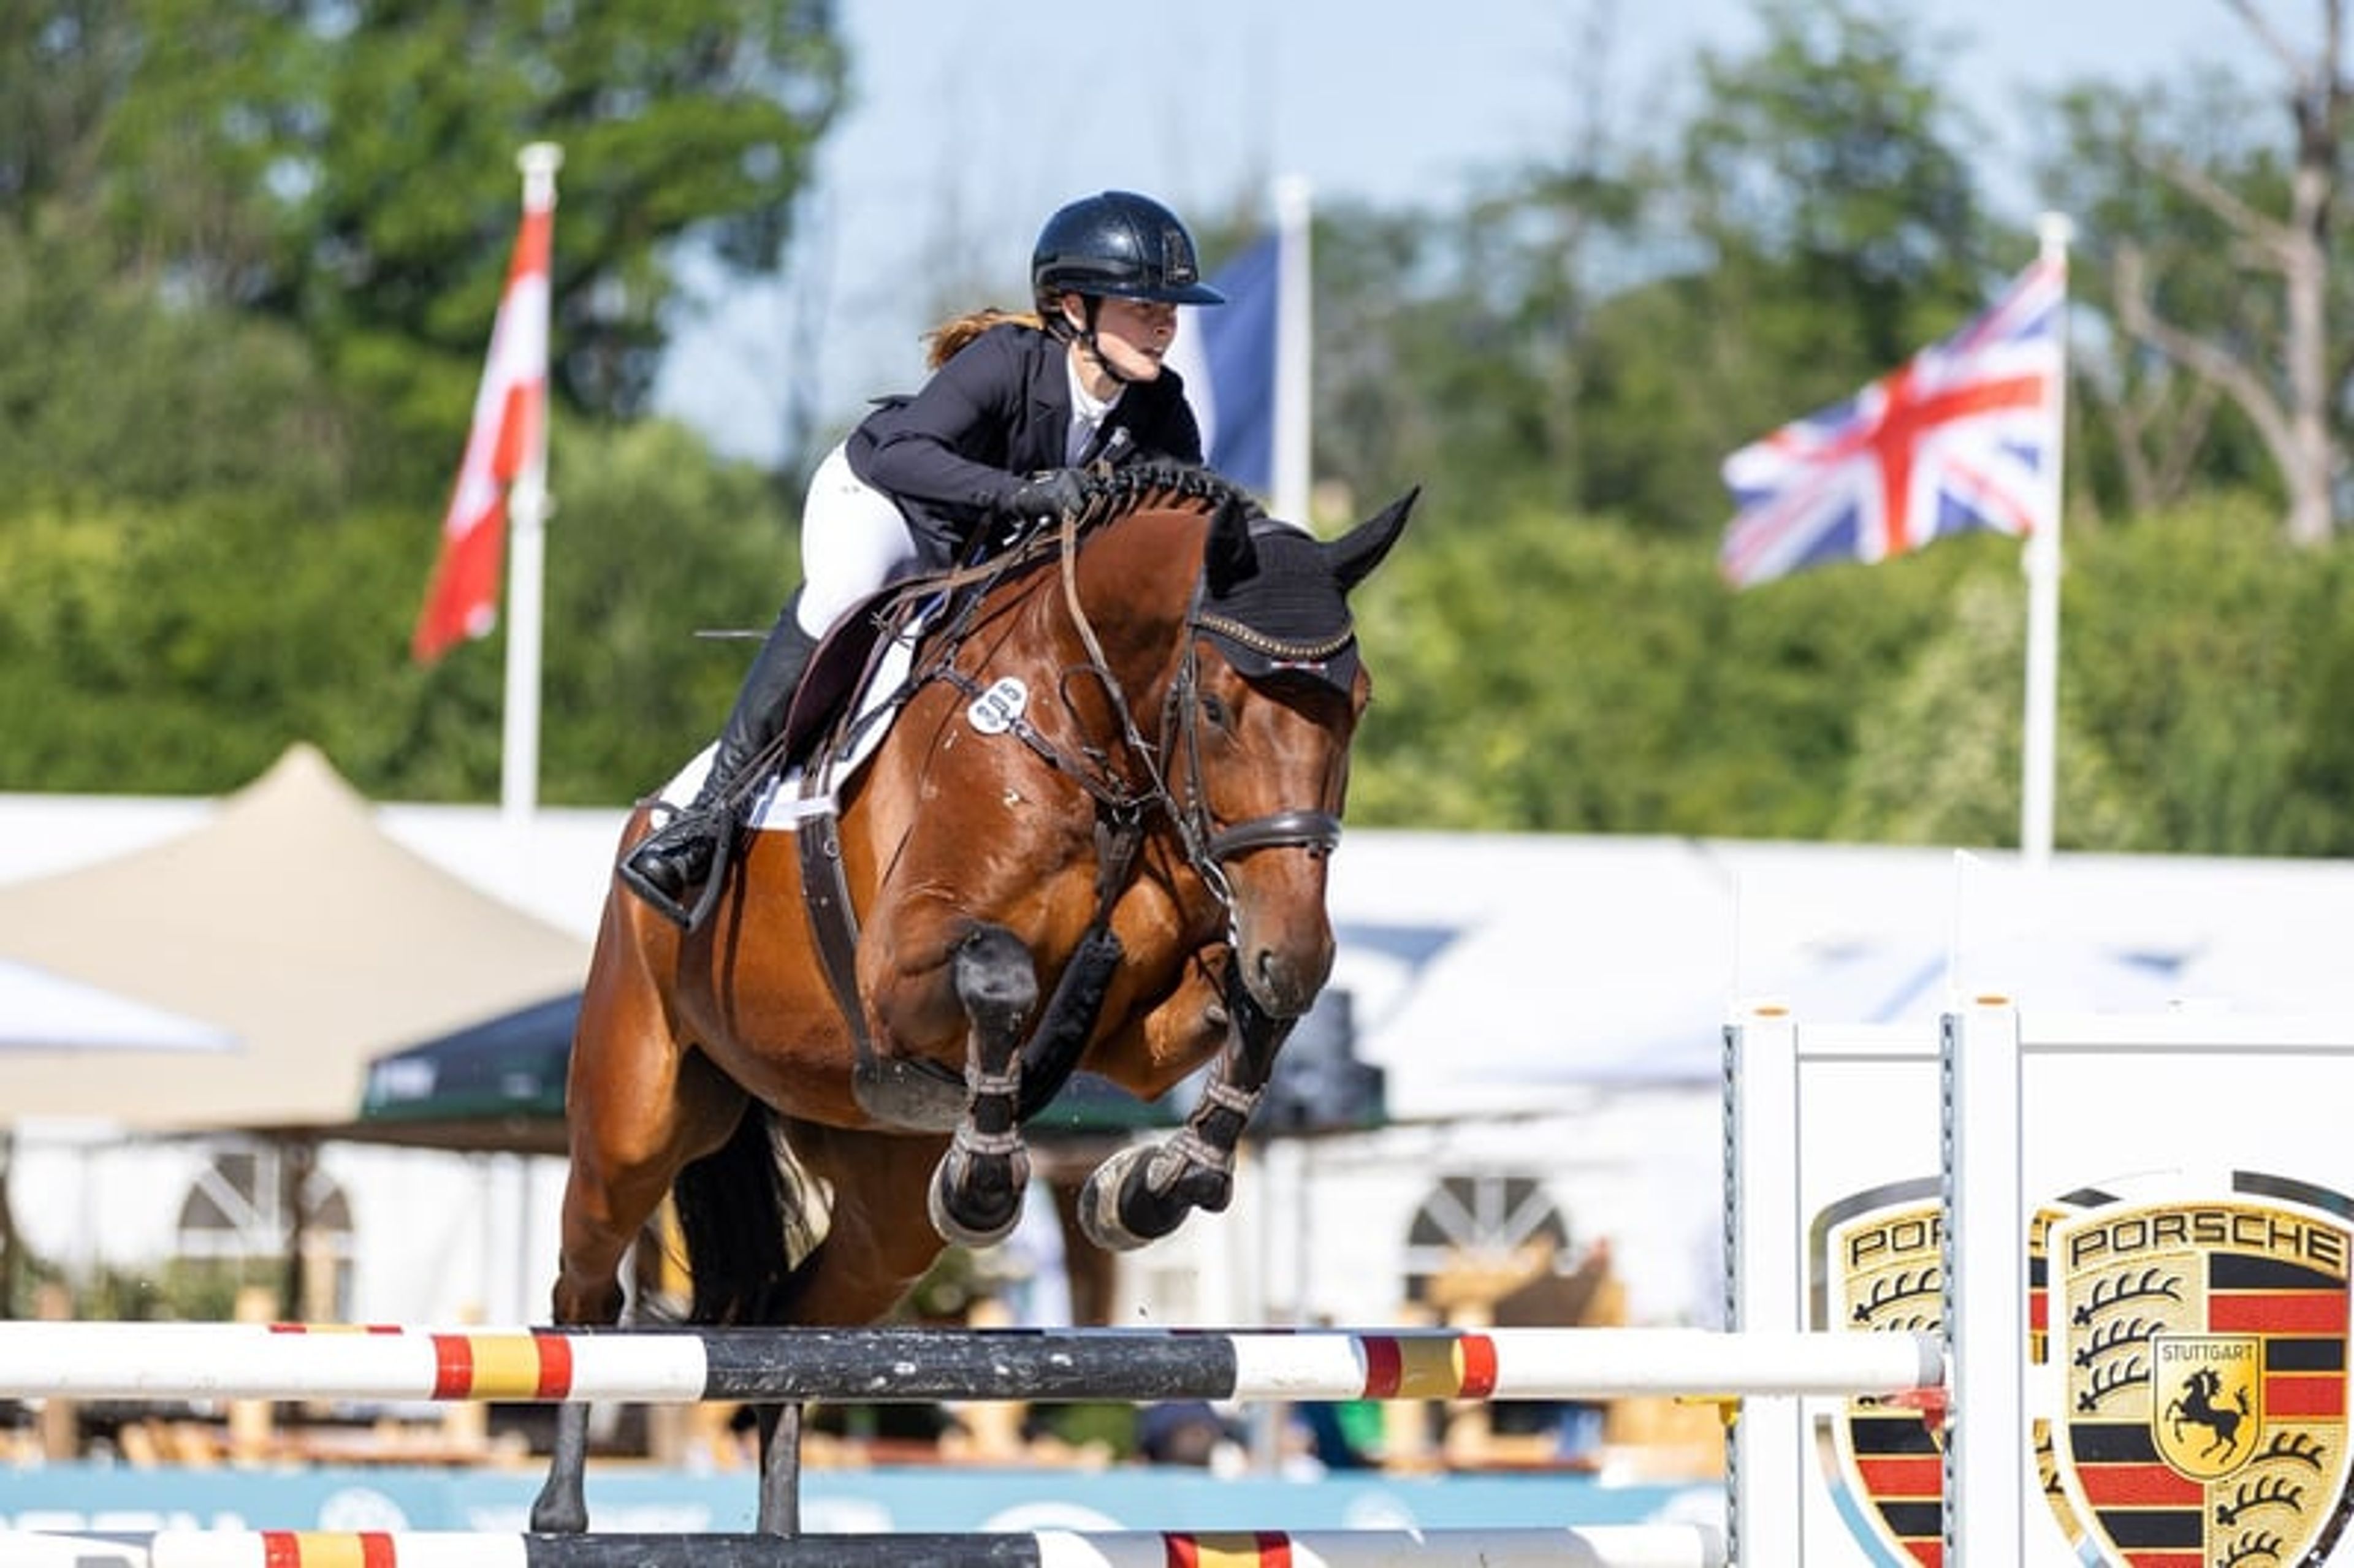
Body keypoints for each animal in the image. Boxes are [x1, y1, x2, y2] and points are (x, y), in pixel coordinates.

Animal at [531, 465, 1416, 1530]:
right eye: (1216, 707)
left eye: (1358, 705)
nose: (1302, 950)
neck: (1086, 730)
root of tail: (642, 817)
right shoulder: (898, 967)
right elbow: (1001, 969)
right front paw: (989, 1179)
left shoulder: (1144, 1033)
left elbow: (1247, 1009)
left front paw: (1155, 1183)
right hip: (636, 1118)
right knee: (588, 1294)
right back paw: (561, 1510)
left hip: (884, 1213)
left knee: (794, 1327)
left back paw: (779, 1527)